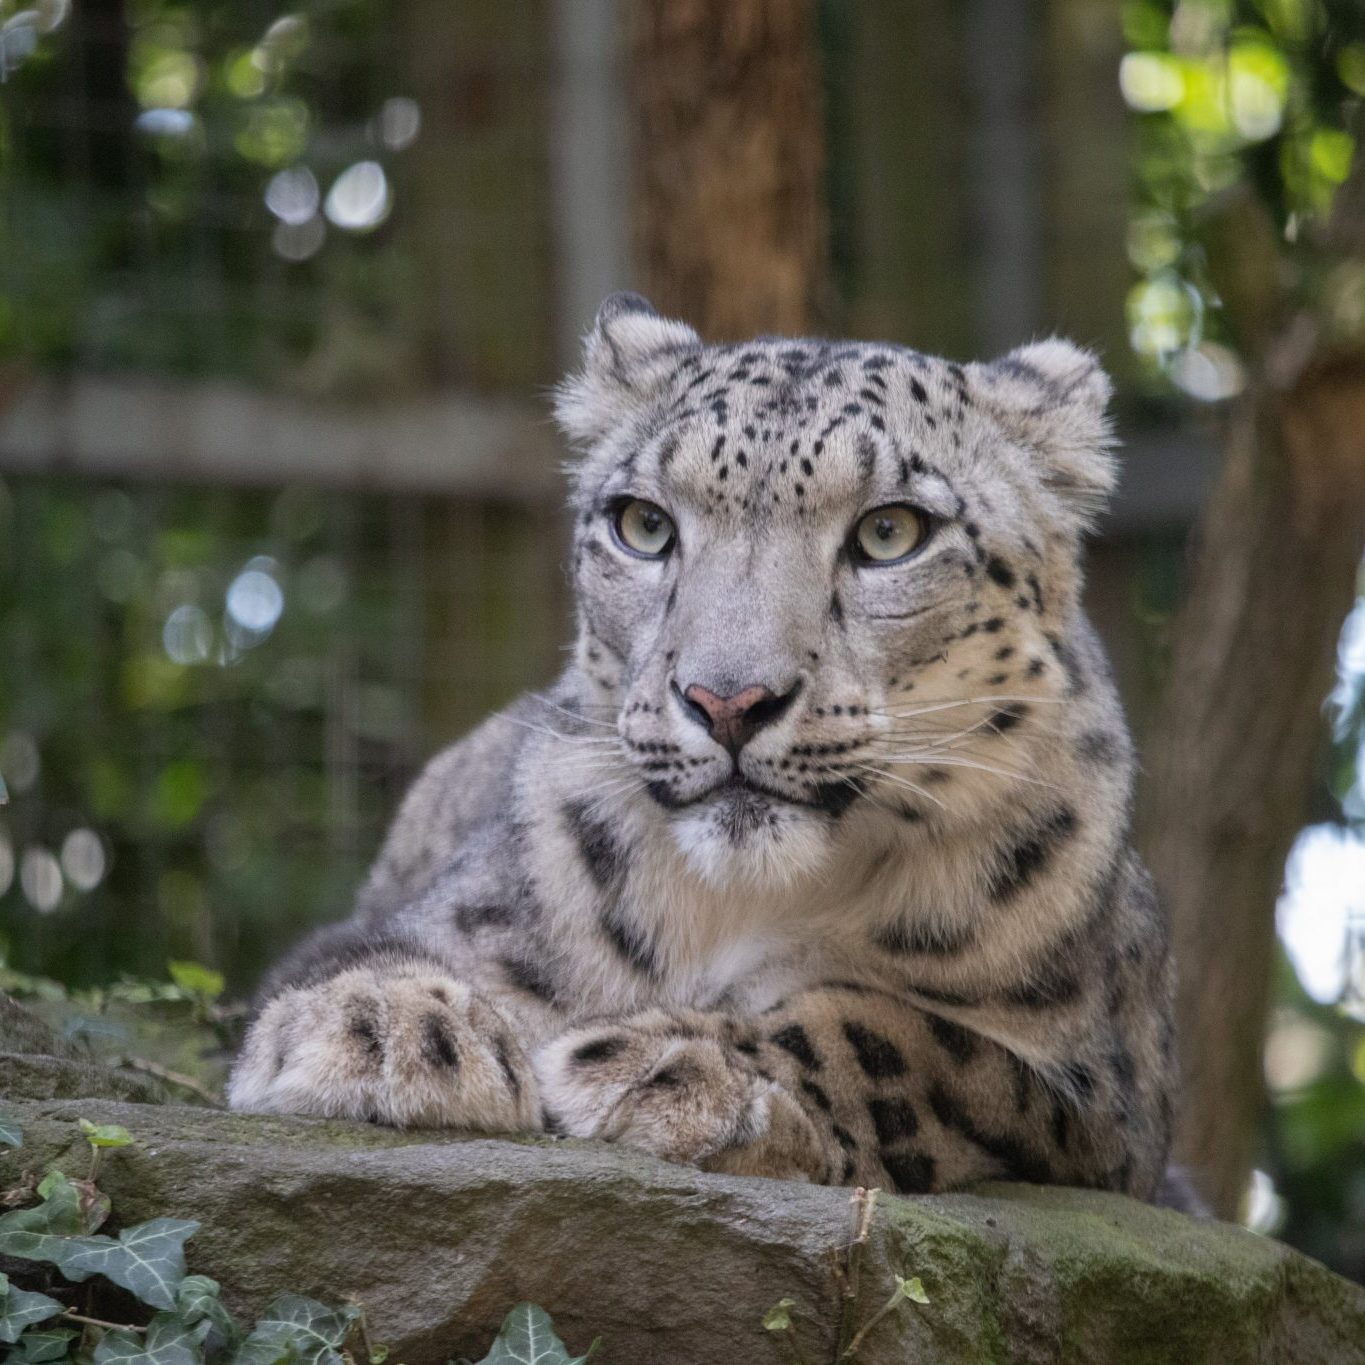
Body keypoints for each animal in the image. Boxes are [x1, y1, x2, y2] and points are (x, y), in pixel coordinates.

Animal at [229, 293, 1179, 1201]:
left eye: (890, 533)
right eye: (644, 525)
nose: (727, 701)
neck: (740, 906)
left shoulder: (1101, 1096)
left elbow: (908, 1037)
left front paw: (677, 1067)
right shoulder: (396, 924)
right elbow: (369, 956)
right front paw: (389, 1028)